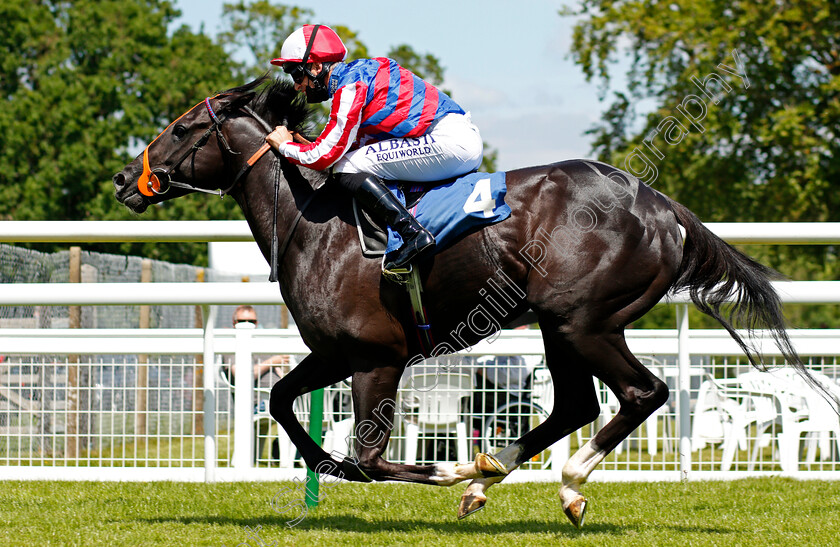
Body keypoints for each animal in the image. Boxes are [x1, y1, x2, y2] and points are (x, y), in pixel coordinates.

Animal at [113, 77, 820, 528]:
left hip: (583, 322)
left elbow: (368, 460)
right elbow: (285, 400)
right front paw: (321, 463)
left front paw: (444, 472)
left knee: (642, 393)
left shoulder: (376, 357)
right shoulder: (335, 353)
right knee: (576, 404)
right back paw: (492, 475)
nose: (124, 178)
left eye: (183, 127)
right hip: (560, 328)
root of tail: (661, 206)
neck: (313, 225)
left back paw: (558, 484)